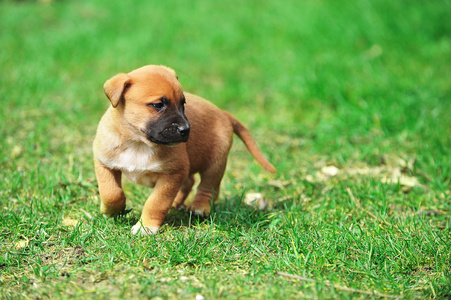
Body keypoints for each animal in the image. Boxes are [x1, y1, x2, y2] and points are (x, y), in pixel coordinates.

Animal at [92, 64, 276, 236]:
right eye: (158, 105)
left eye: (183, 104)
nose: (186, 130)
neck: (137, 142)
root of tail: (222, 112)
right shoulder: (104, 163)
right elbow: (111, 192)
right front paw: (113, 210)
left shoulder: (172, 174)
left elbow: (156, 202)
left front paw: (146, 226)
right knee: (190, 182)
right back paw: (176, 203)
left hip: (215, 163)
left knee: (208, 187)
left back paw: (200, 207)